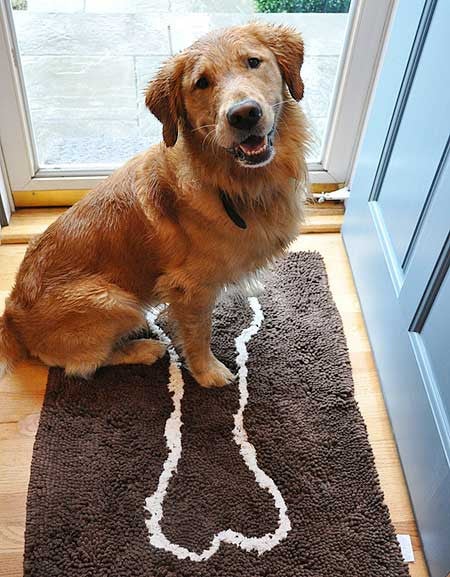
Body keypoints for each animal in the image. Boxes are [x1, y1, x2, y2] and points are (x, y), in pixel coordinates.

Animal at [0, 22, 310, 388]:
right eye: (201, 82)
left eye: (253, 62)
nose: (244, 114)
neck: (235, 182)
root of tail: (11, 316)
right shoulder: (189, 288)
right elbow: (198, 334)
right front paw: (208, 372)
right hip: (117, 302)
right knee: (82, 365)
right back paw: (143, 348)